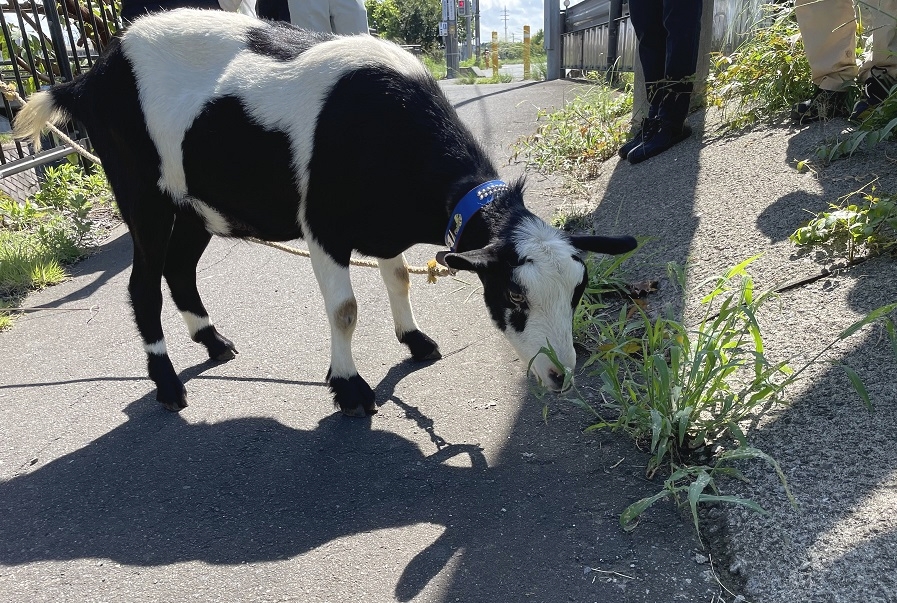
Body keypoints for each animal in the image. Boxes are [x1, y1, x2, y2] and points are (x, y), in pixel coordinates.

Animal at [17, 9, 636, 416]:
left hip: (195, 203)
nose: (560, 375)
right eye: (513, 296)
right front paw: (349, 386)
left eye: (578, 293)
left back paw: (214, 342)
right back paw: (168, 385)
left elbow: (398, 277)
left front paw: (415, 340)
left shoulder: (381, 228)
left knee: (179, 268)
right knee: (144, 281)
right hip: (141, 190)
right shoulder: (324, 228)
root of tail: (90, 76)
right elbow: (345, 311)